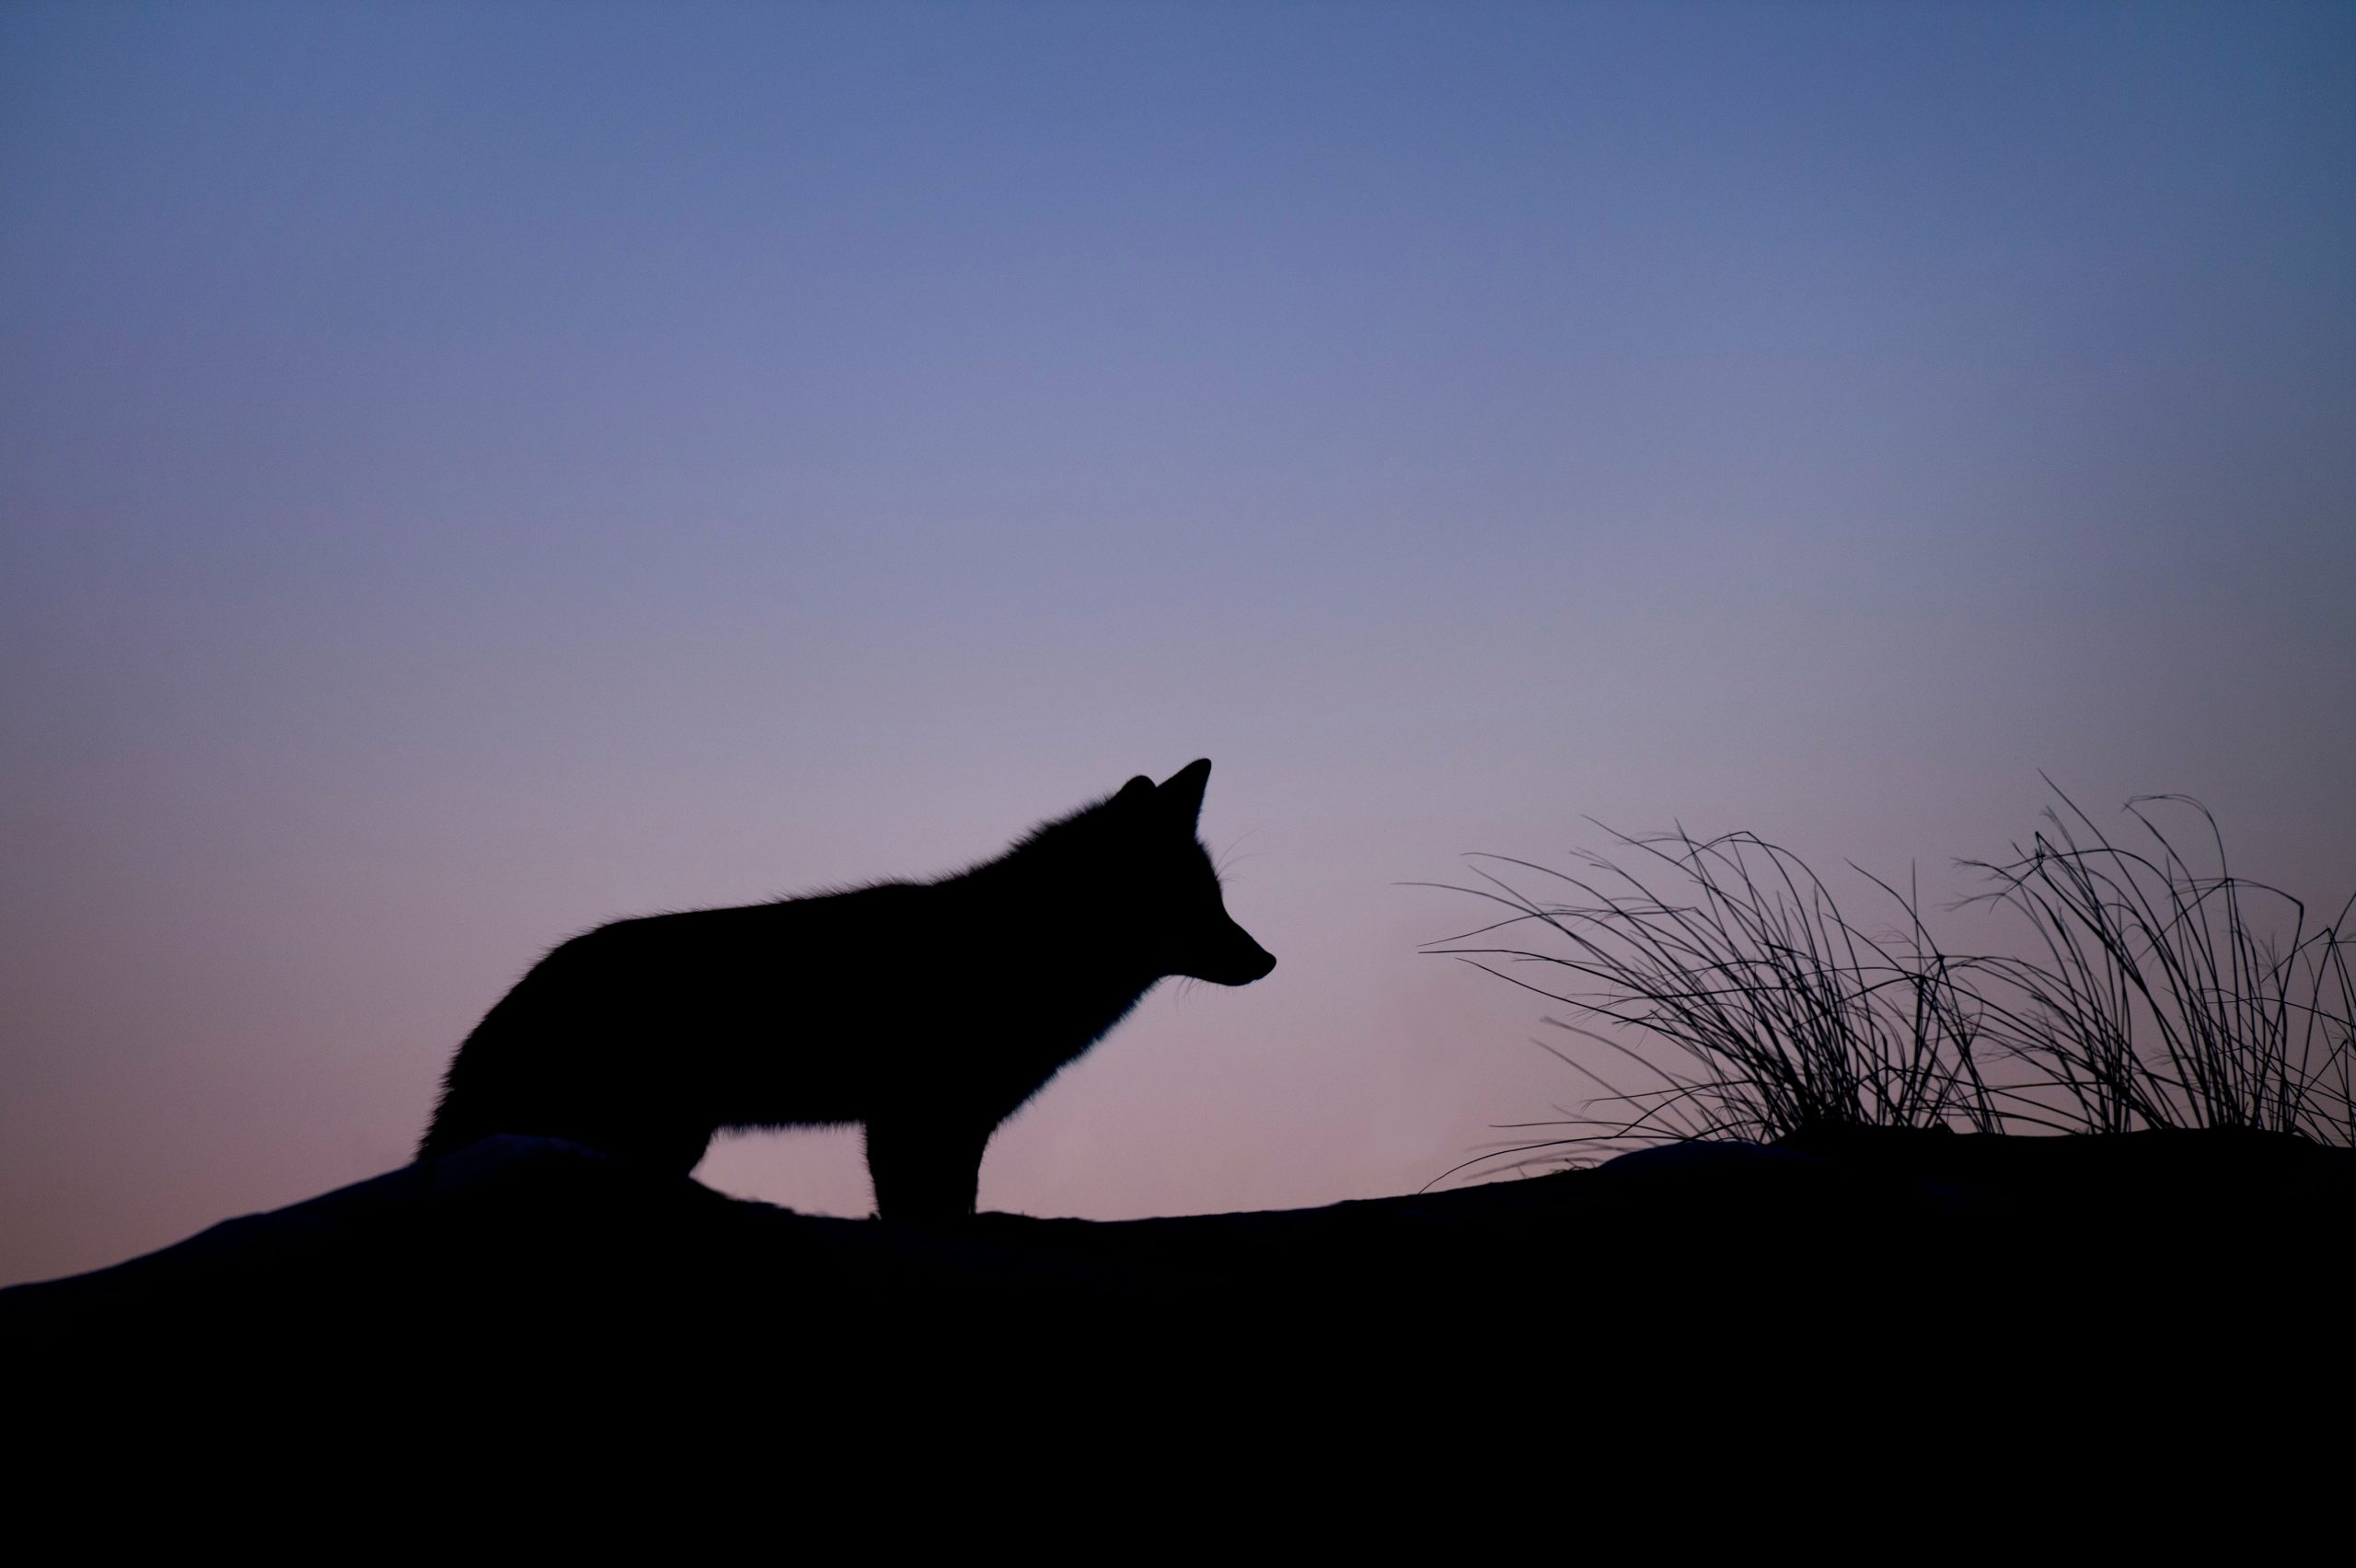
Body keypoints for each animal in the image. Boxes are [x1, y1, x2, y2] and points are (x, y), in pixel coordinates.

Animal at [418, 759, 1274, 1221]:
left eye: (1218, 899)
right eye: (1195, 904)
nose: (1268, 961)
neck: (1022, 949)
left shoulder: (955, 1125)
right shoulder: (913, 1120)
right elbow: (925, 1214)